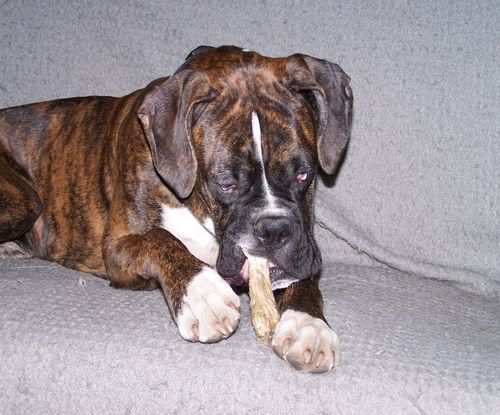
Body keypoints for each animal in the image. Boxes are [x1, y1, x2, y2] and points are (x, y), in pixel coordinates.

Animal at [0, 45, 352, 373]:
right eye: (226, 183)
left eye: (304, 174)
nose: (274, 229)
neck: (198, 208)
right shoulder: (118, 247)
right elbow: (160, 240)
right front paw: (202, 294)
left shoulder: (302, 248)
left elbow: (304, 278)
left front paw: (309, 324)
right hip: (26, 201)